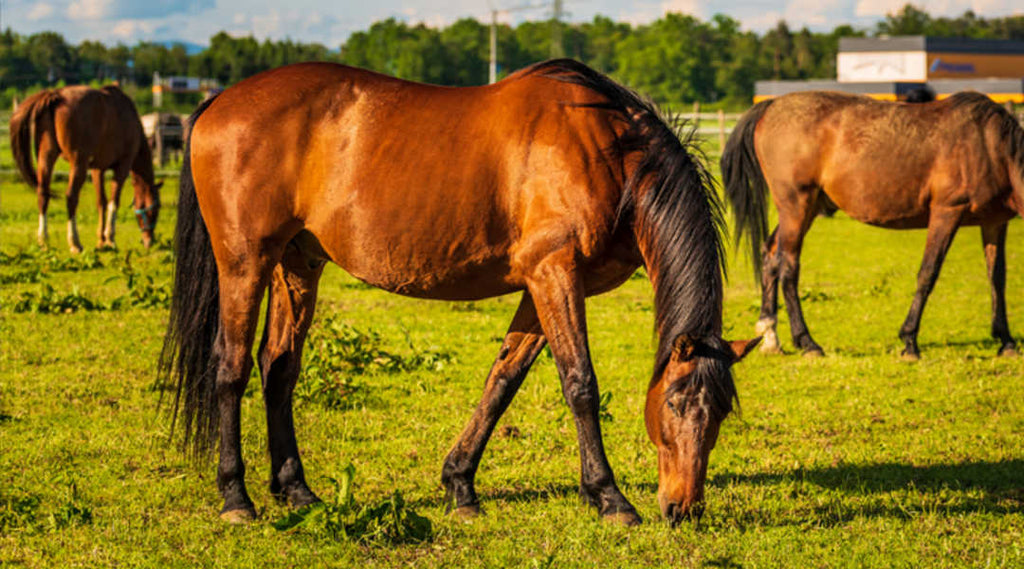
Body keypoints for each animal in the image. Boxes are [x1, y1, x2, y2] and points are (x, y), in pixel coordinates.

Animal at [9, 84, 161, 250]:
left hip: (46, 157)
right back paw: (75, 243)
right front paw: (110, 238)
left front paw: (101, 240)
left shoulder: (97, 169)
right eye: (155, 209)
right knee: (71, 197)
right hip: (78, 163)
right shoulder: (123, 166)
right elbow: (113, 201)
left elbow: (101, 202)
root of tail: (57, 95)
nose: (149, 241)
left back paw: (43, 241)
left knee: (43, 194)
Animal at [155, 60, 757, 528]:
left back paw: (298, 490)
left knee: (279, 366)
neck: (607, 151)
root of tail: (218, 102)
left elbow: (503, 380)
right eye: (675, 403)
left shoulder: (543, 284)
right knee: (230, 367)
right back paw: (236, 497)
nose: (683, 509)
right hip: (245, 263)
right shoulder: (554, 273)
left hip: (297, 263)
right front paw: (609, 497)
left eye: (721, 412)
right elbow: (580, 384)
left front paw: (460, 485)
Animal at [720, 93, 1024, 360]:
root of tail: (771, 107)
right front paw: (909, 342)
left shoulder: (995, 222)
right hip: (796, 206)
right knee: (788, 268)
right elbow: (928, 273)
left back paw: (770, 337)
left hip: (807, 209)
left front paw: (1006, 341)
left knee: (770, 255)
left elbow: (997, 277)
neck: (989, 145)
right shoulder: (946, 212)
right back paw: (808, 343)